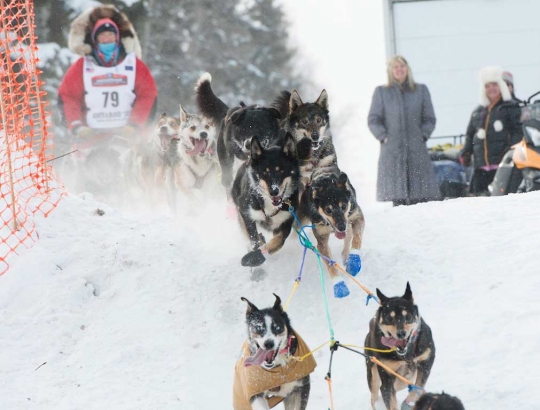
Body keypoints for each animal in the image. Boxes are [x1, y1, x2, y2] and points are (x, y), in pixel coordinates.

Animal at [362, 282, 434, 410]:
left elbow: (418, 388)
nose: (401, 333)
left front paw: (409, 402)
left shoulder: (427, 360)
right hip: (373, 375)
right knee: (374, 396)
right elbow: (389, 398)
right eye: (389, 318)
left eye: (408, 317)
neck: (406, 356)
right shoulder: (386, 378)